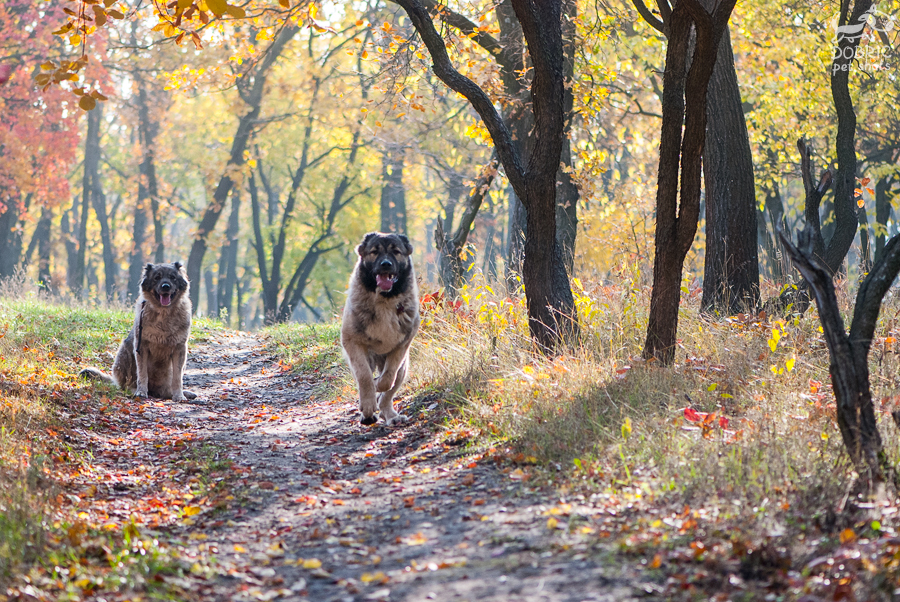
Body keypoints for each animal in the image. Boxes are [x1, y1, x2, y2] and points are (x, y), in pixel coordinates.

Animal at [79, 262, 197, 398]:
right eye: (157, 277)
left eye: (173, 277)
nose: (166, 286)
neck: (163, 313)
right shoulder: (141, 347)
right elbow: (142, 374)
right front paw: (141, 391)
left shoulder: (180, 348)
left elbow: (178, 378)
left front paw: (179, 395)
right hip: (125, 352)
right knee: (125, 384)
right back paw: (132, 389)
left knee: (167, 389)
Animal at [340, 230, 420, 422]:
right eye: (374, 252)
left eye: (396, 251)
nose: (386, 264)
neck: (384, 300)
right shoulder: (353, 343)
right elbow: (365, 377)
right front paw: (368, 406)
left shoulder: (401, 347)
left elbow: (388, 377)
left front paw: (379, 385)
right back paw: (369, 415)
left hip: (403, 369)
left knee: (388, 394)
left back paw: (390, 414)